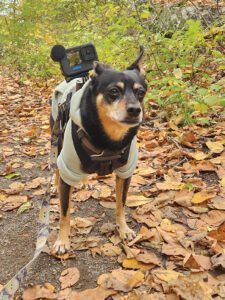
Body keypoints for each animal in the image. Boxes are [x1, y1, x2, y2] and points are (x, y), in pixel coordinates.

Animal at [51, 48, 147, 254]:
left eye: (141, 92)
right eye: (113, 91)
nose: (135, 110)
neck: (109, 140)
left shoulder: (125, 173)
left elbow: (121, 204)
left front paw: (123, 229)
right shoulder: (67, 172)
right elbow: (65, 214)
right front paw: (62, 240)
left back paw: (85, 181)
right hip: (57, 141)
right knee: (55, 167)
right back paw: (54, 185)